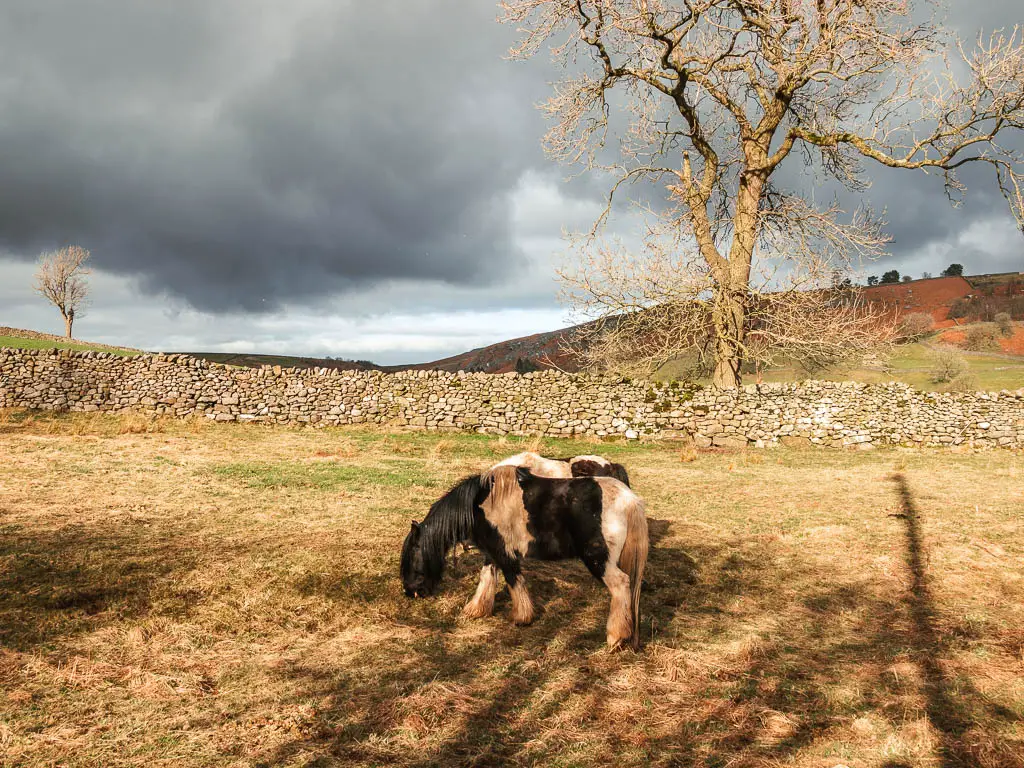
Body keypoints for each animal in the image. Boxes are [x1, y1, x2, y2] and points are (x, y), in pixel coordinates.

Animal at [399, 466, 647, 651]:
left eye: (412, 555)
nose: (411, 591)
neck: (478, 504)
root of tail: (628, 498)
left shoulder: (504, 554)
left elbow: (513, 581)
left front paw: (521, 617)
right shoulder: (492, 553)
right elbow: (487, 579)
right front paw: (476, 609)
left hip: (599, 560)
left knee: (621, 586)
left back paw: (616, 638)